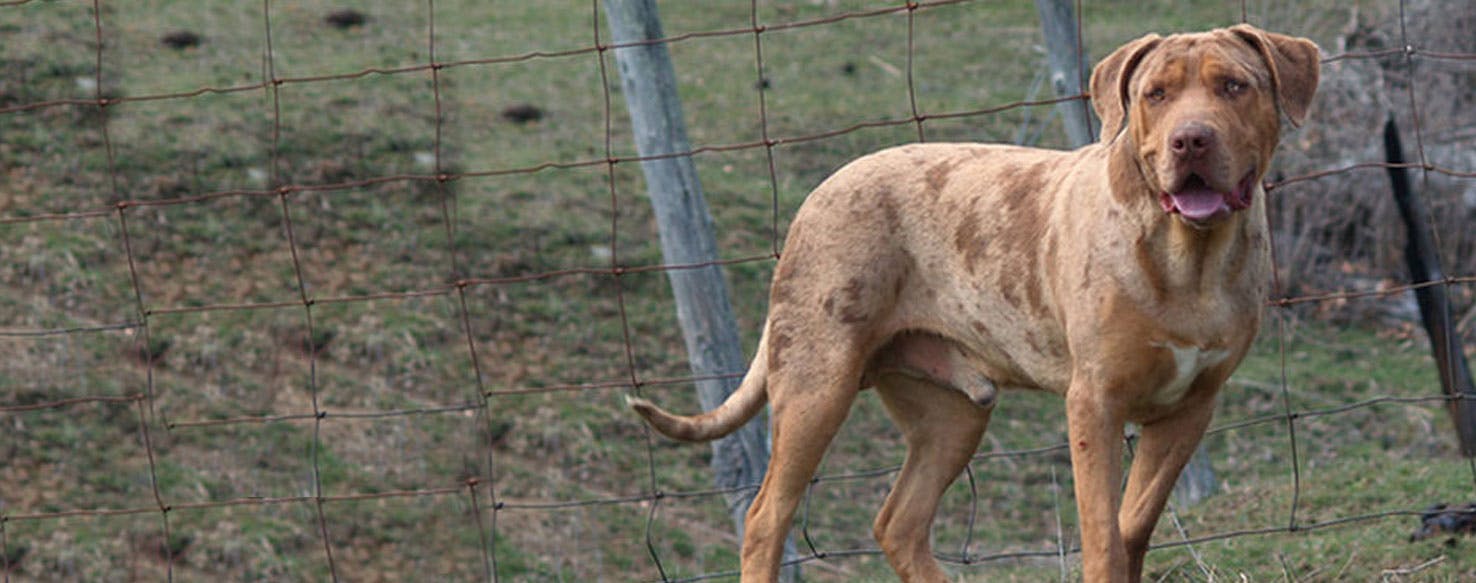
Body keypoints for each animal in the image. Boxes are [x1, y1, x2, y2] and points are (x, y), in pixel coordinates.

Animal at [628, 25, 1322, 581]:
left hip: (950, 414)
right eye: (1156, 94)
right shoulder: (1094, 402)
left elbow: (1132, 527)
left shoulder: (1189, 411)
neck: (1190, 258)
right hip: (815, 385)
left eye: (1233, 86)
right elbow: (1102, 535)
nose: (1191, 140)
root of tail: (820, 190)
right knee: (766, 516)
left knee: (899, 523)